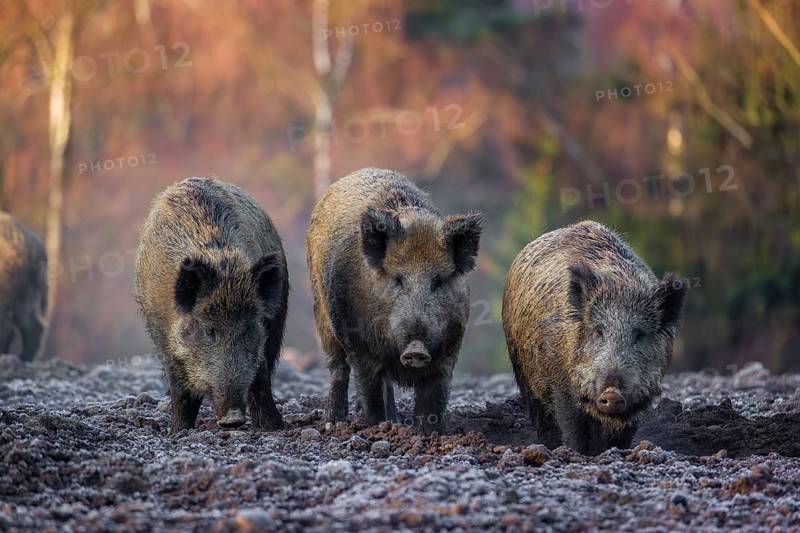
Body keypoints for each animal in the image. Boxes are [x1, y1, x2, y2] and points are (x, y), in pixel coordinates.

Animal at [135, 177, 288, 432]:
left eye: (247, 330)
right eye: (210, 331)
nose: (233, 419)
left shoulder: (263, 336)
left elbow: (260, 378)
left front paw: (273, 428)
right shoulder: (164, 340)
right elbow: (180, 390)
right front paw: (178, 430)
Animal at [306, 168, 483, 435]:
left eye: (438, 281)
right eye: (398, 279)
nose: (416, 349)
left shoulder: (448, 353)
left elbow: (434, 401)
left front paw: (432, 435)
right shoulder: (361, 348)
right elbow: (371, 393)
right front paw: (377, 428)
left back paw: (395, 421)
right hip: (323, 314)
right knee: (338, 367)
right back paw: (334, 423)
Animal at [502, 220, 687, 455]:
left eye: (639, 334)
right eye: (599, 331)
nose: (612, 393)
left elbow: (625, 431)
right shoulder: (561, 384)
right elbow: (573, 426)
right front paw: (578, 453)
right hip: (522, 370)